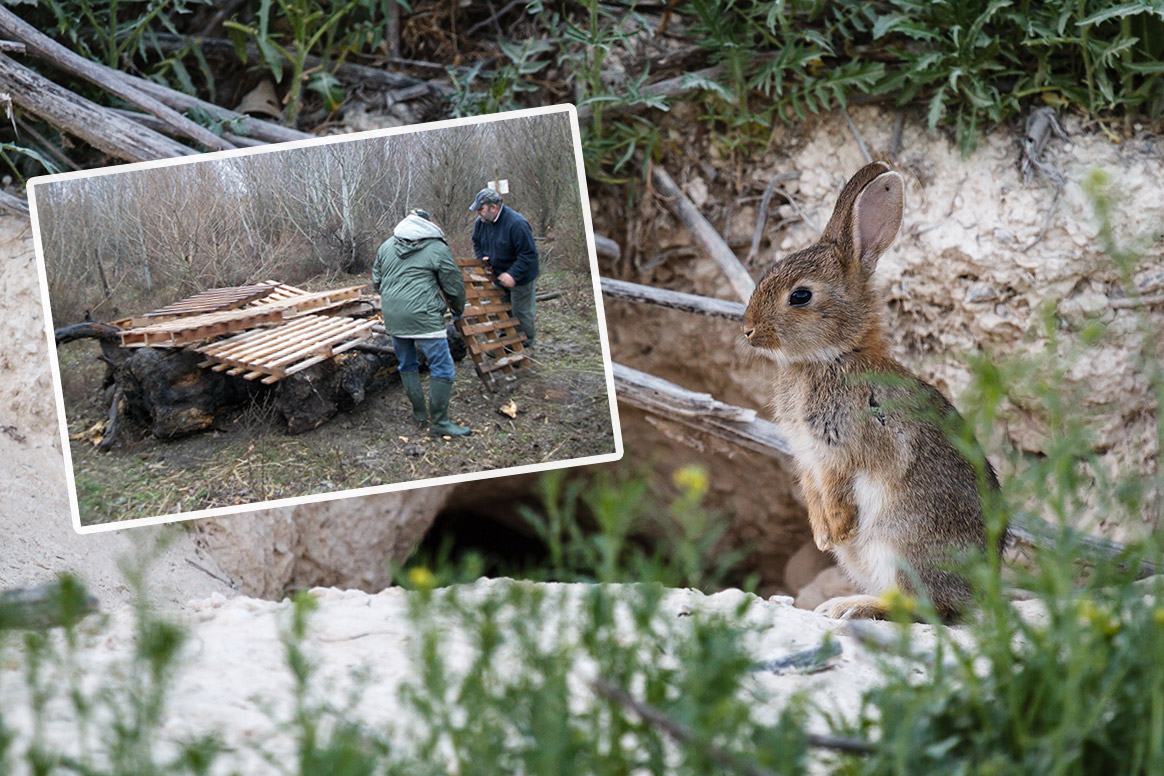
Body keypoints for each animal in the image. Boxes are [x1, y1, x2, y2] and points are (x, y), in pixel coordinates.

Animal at [744, 160, 1001, 623]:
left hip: (897, 545)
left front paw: (836, 529)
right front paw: (822, 536)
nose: (748, 329)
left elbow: (841, 487)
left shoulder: (852, 444)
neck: (834, 355)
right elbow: (813, 491)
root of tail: (975, 594)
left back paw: (851, 606)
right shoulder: (807, 456)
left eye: (801, 296)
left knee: (920, 605)